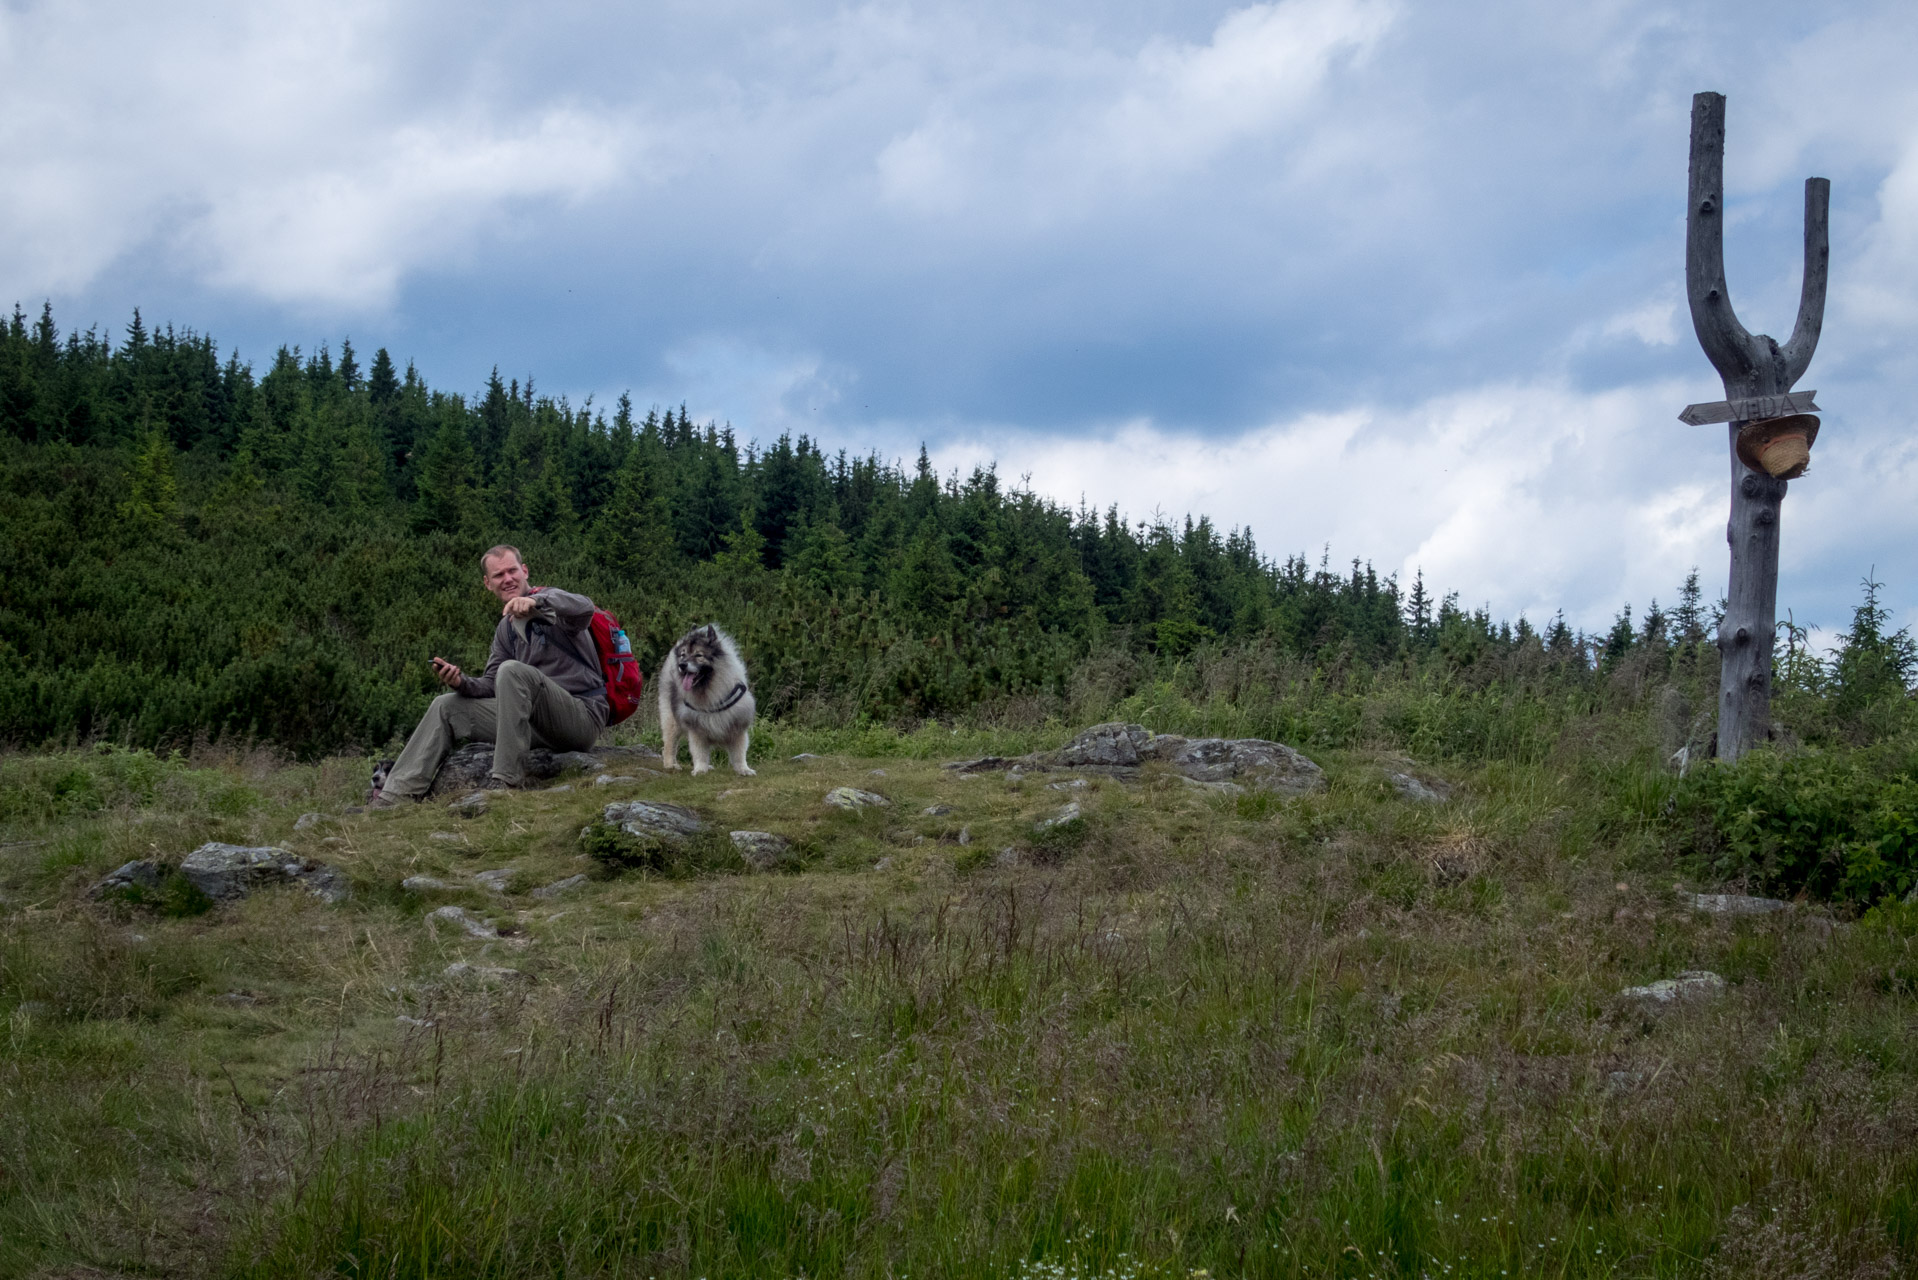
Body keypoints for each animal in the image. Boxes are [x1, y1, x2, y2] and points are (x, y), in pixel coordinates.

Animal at [655, 625, 751, 775]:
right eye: (683, 655)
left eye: (698, 655)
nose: (682, 665)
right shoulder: (696, 727)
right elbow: (699, 752)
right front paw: (700, 769)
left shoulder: (738, 725)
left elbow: (739, 752)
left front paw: (744, 769)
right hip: (671, 720)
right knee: (669, 744)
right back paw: (671, 765)